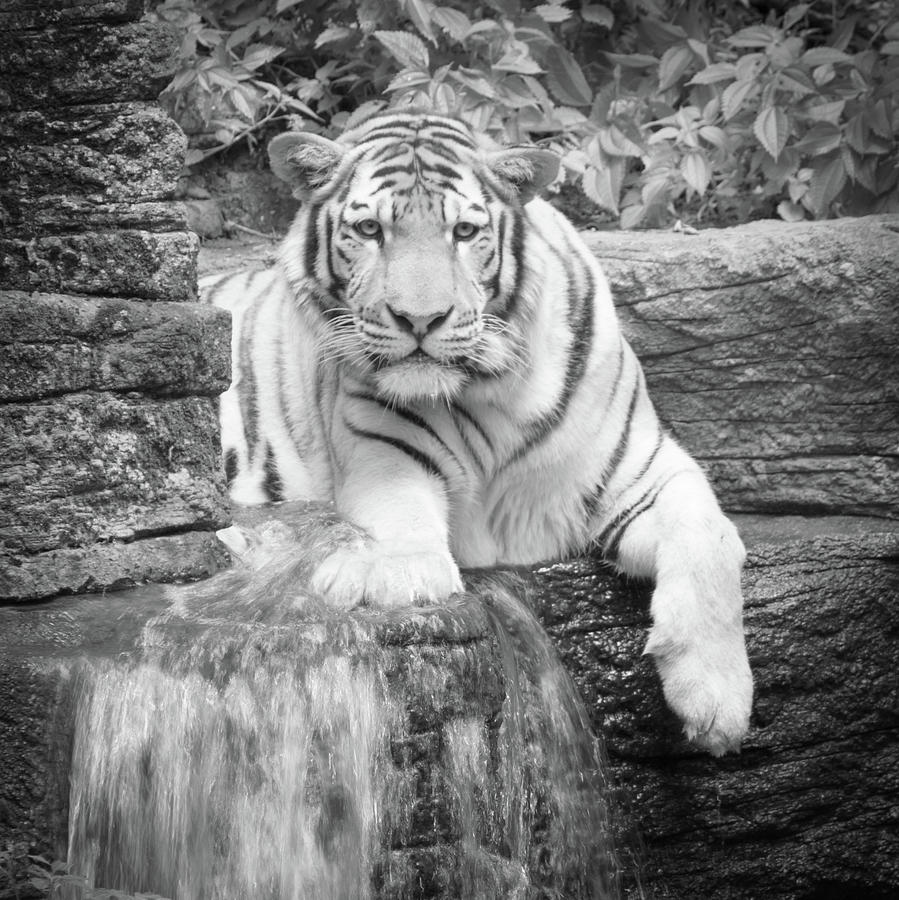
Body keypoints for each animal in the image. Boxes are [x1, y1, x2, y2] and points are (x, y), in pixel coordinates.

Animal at [202, 107, 752, 760]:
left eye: (464, 232)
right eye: (369, 229)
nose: (419, 319)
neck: (491, 389)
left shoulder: (645, 470)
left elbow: (712, 539)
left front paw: (718, 700)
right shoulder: (387, 453)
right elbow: (401, 514)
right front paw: (392, 574)